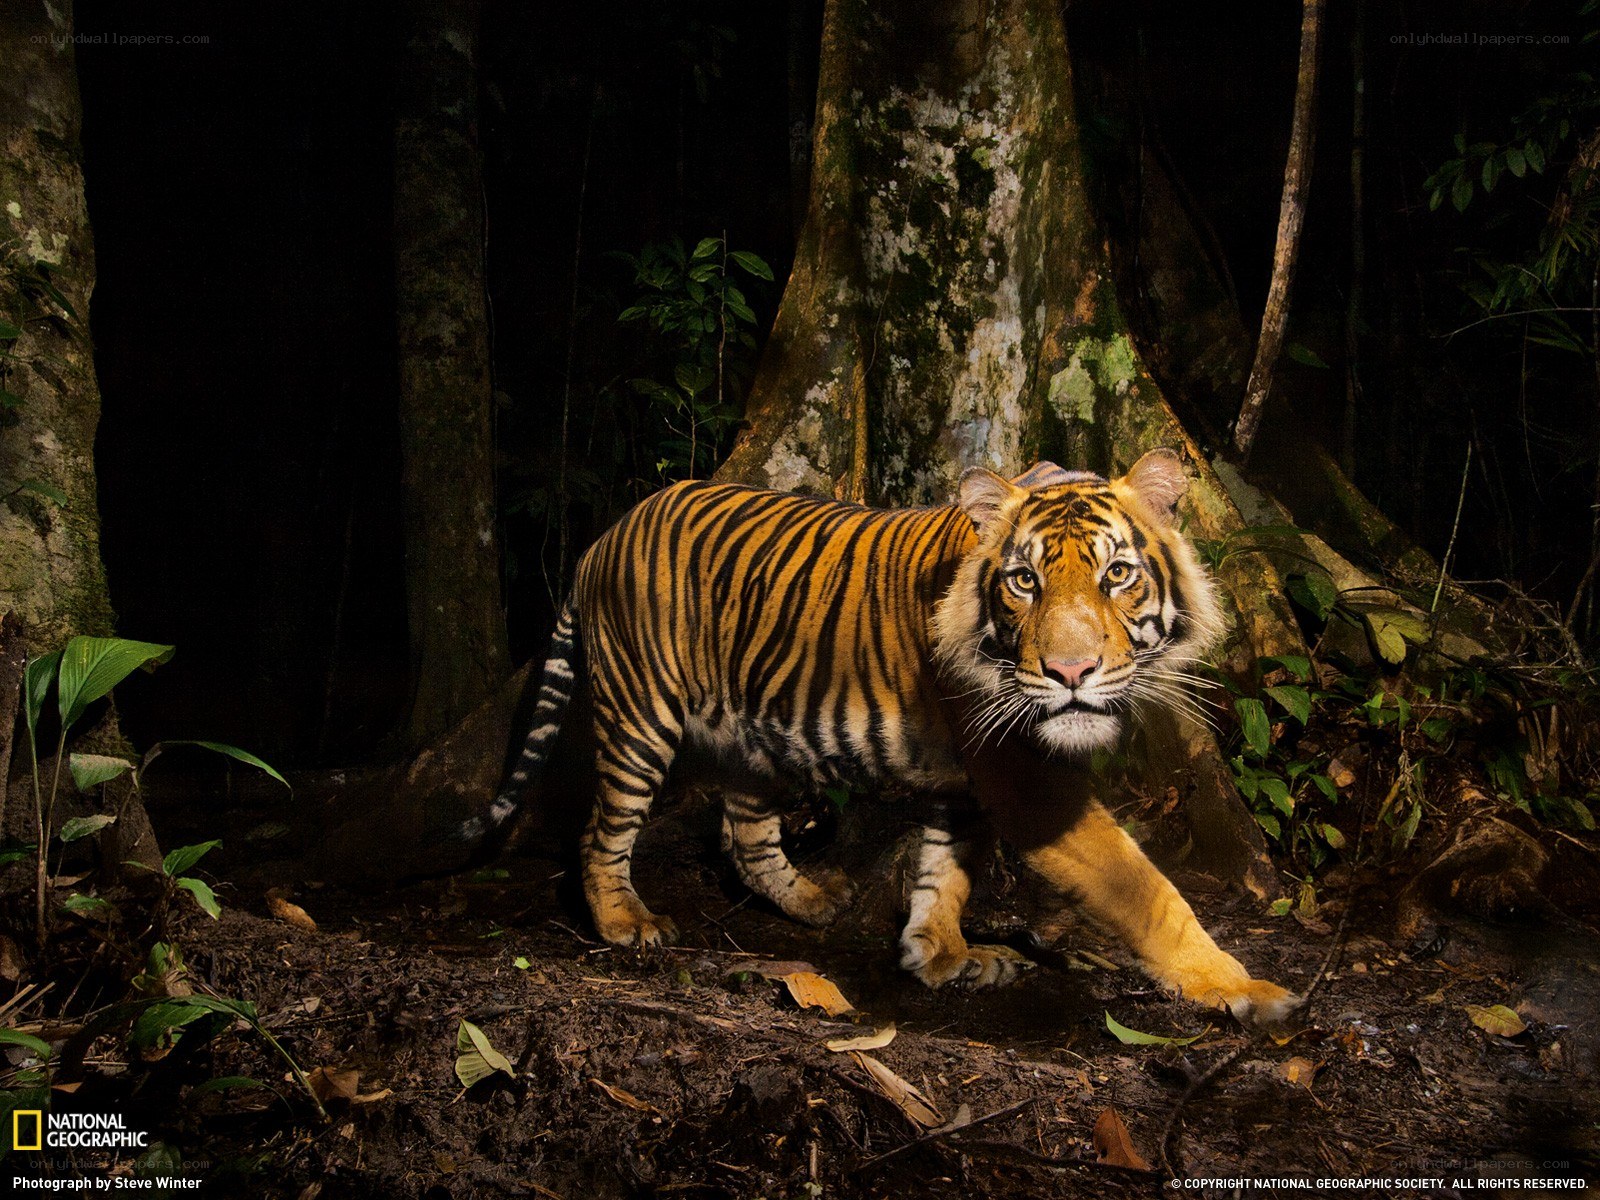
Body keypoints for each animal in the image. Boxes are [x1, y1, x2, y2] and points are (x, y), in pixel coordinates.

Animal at [461, 448, 1296, 1024]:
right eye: (1023, 581)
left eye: (1117, 574)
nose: (1069, 671)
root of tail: (602, 538)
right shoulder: (1024, 779)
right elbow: (1145, 889)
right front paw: (1241, 987)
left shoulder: (969, 779)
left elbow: (944, 873)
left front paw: (942, 956)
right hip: (642, 714)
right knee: (603, 829)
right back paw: (625, 922)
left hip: (754, 734)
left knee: (747, 833)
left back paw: (812, 901)